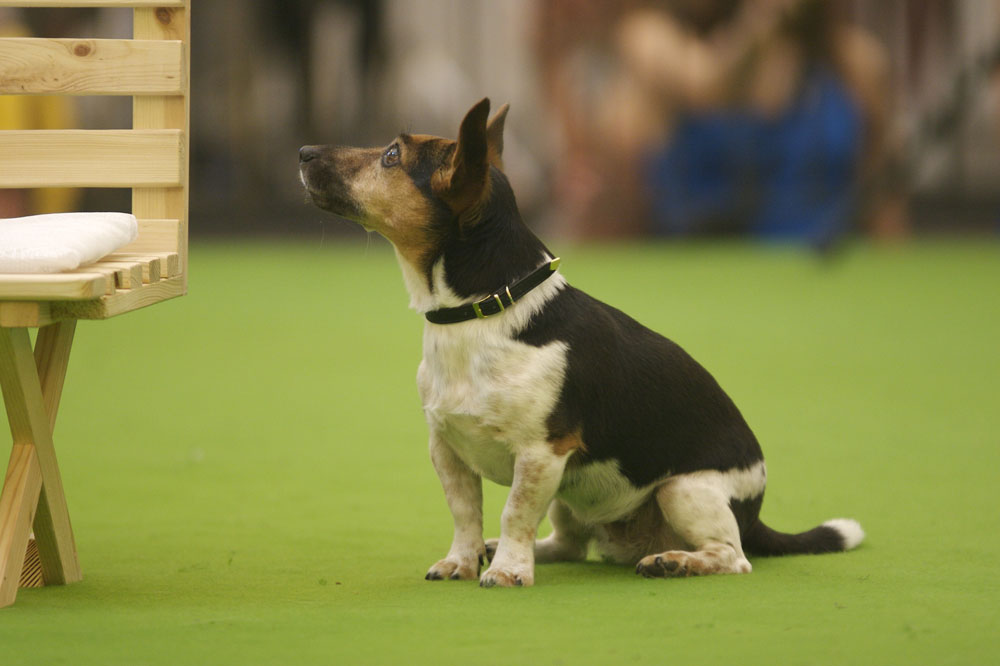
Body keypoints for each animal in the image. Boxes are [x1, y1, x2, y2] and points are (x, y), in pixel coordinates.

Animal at [296, 98, 860, 588]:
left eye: (392, 155)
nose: (302, 152)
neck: (483, 314)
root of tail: (755, 510)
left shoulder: (543, 454)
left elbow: (515, 510)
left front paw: (509, 573)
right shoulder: (446, 449)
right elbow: (466, 513)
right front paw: (464, 560)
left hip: (684, 490)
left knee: (733, 557)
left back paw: (675, 561)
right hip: (574, 498)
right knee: (567, 544)